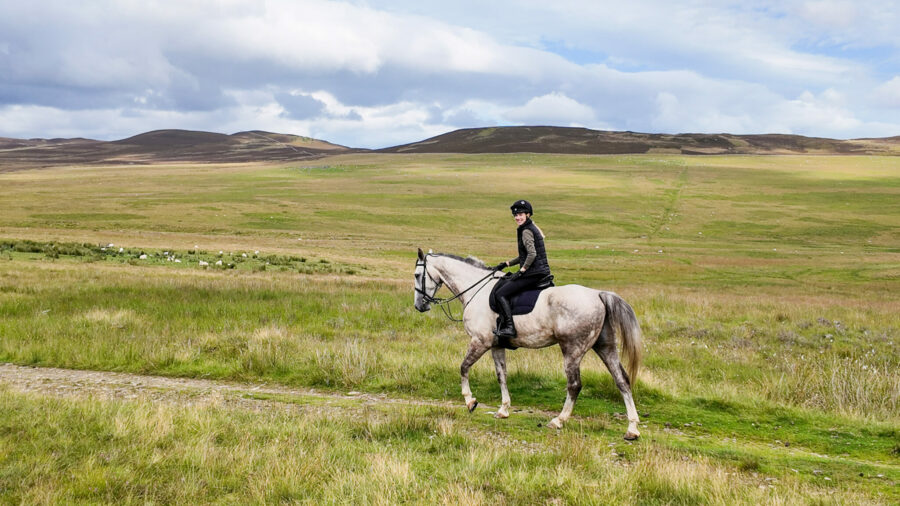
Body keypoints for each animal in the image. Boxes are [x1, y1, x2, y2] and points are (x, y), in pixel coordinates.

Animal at [414, 248, 644, 440]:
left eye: (417, 275)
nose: (419, 306)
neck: (476, 291)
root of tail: (597, 294)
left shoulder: (480, 341)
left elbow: (463, 367)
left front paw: (470, 401)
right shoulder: (497, 346)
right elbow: (501, 376)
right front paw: (503, 410)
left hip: (572, 350)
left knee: (574, 385)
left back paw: (558, 420)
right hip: (605, 347)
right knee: (622, 380)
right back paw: (632, 429)